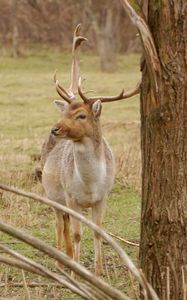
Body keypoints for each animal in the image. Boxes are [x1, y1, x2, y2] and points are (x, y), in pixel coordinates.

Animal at [41, 24, 140, 276]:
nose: (55, 128)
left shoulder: (103, 196)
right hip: (51, 193)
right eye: (66, 112)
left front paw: (98, 270)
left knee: (65, 223)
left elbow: (97, 232)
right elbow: (77, 233)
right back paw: (60, 262)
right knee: (59, 223)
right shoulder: (70, 195)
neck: (89, 184)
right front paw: (77, 270)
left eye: (81, 115)